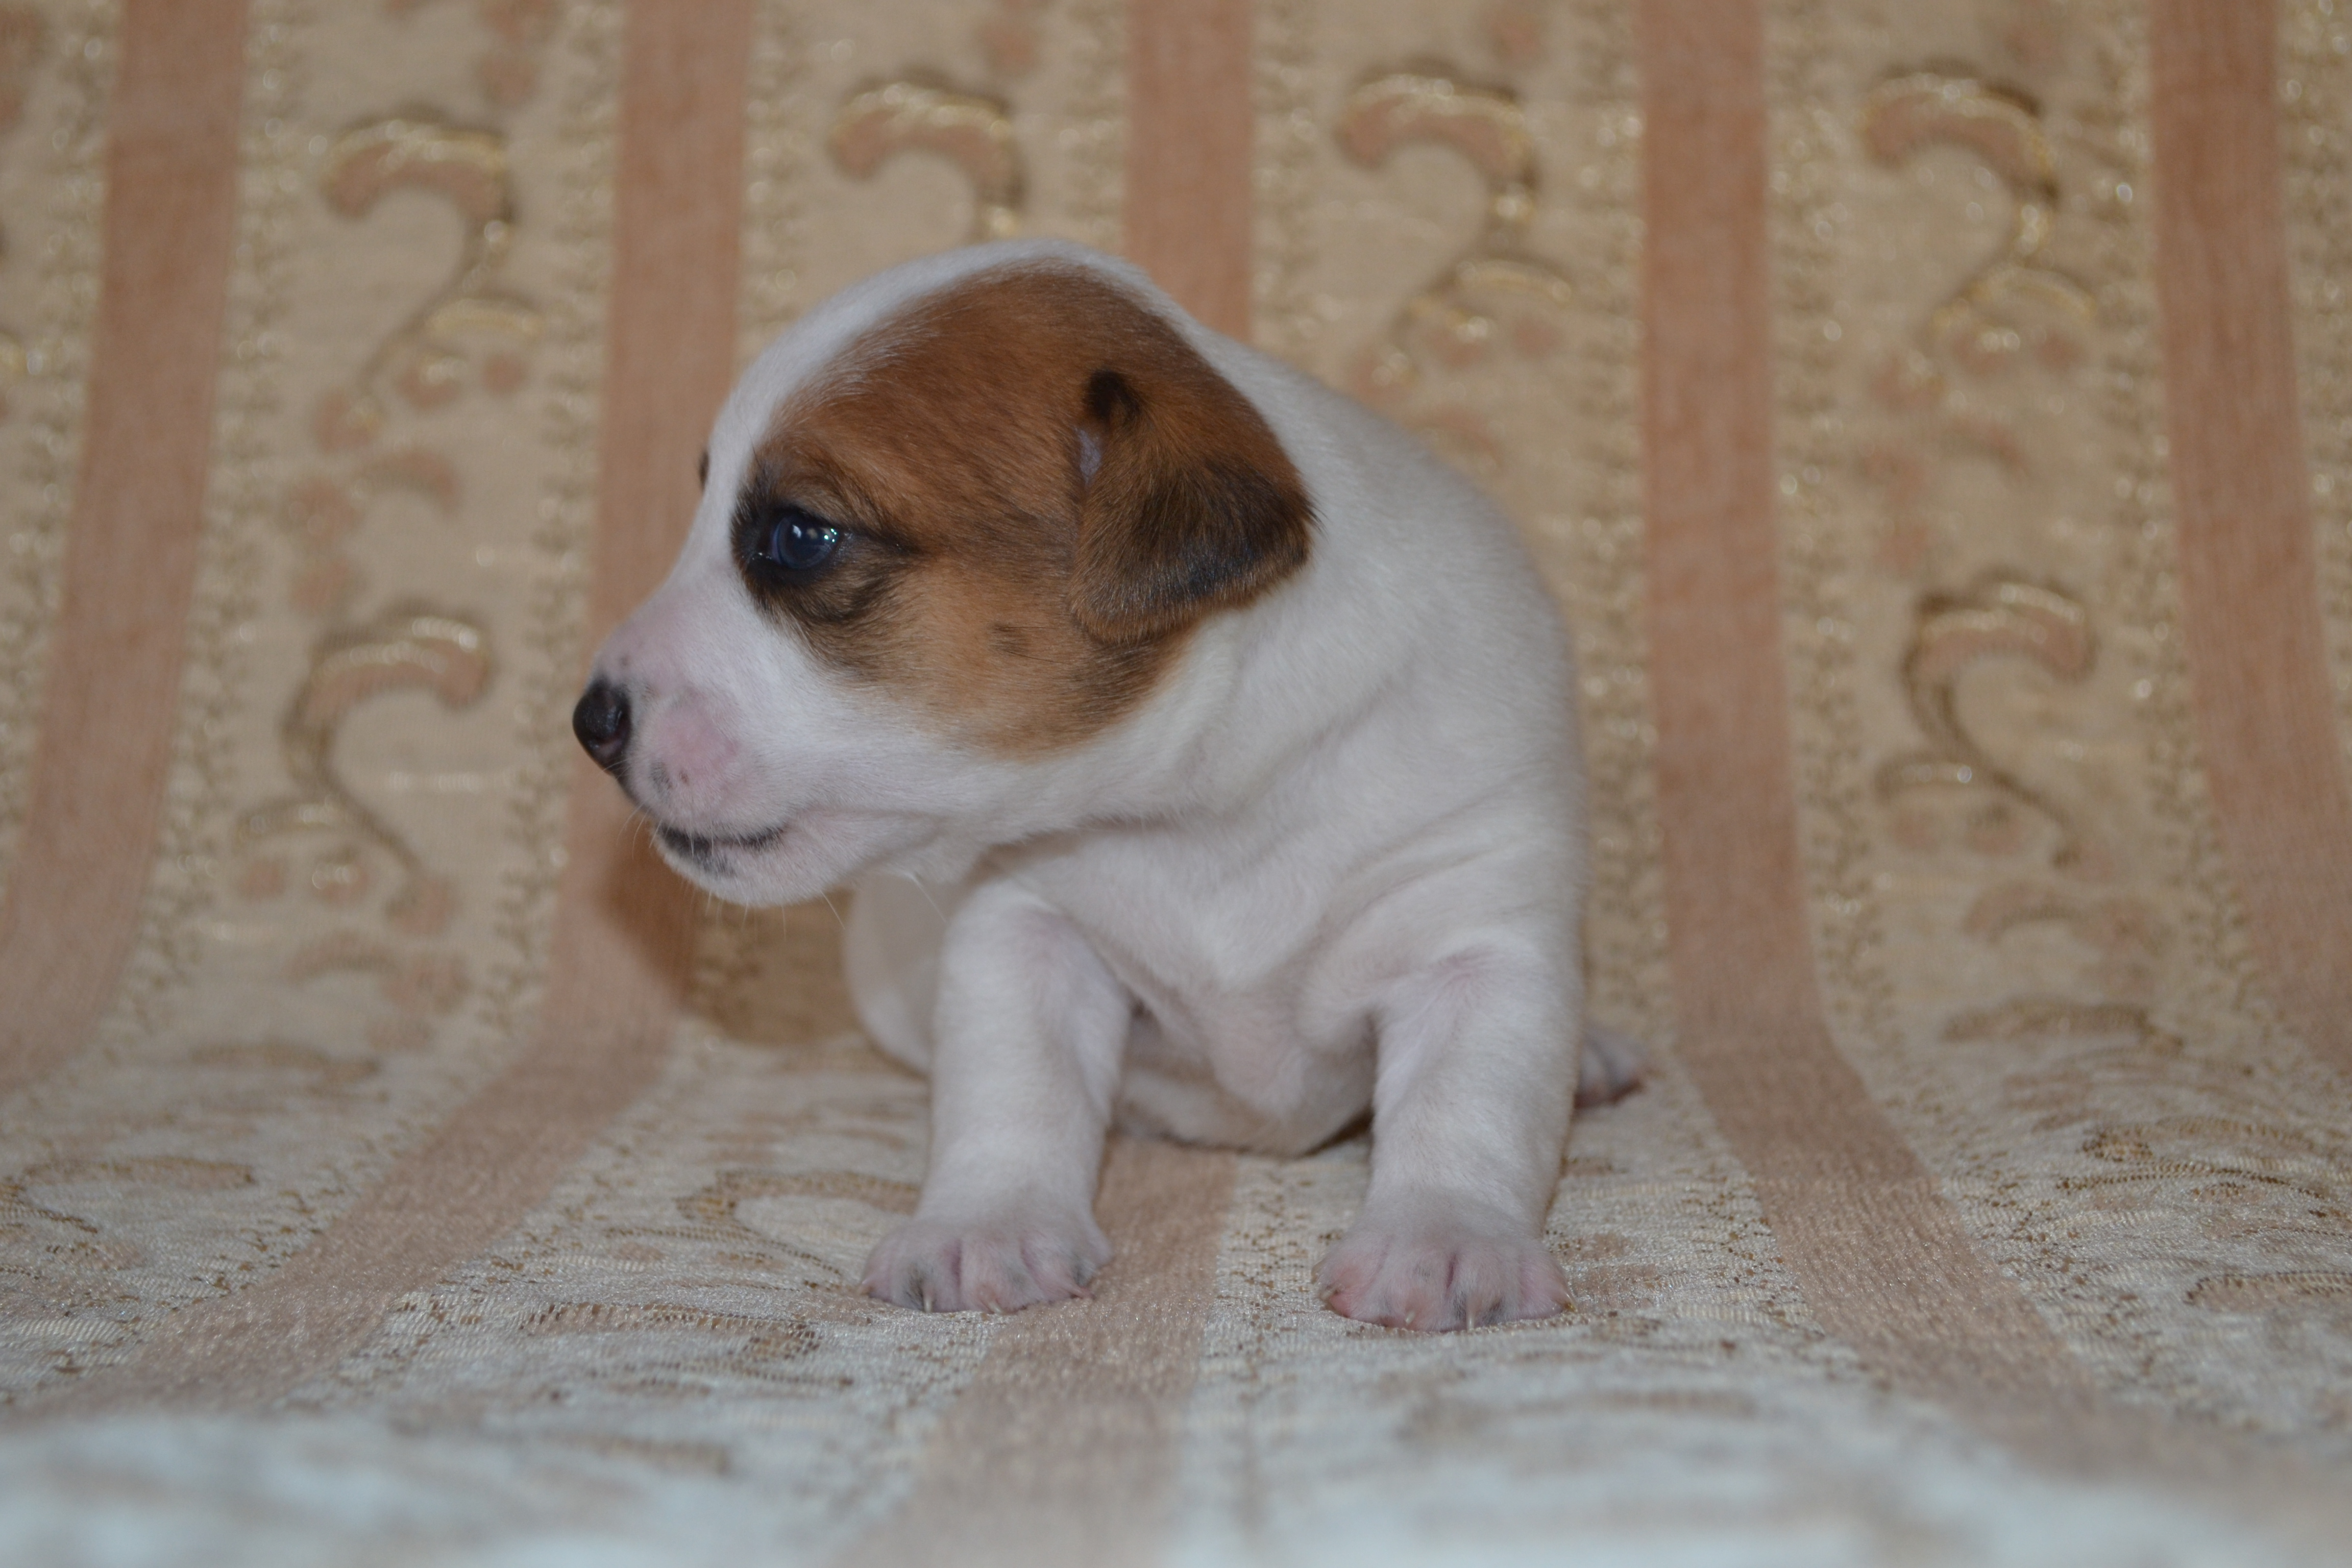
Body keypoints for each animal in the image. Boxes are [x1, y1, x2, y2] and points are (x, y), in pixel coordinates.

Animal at [574, 240, 1639, 1330]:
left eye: (797, 538)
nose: (590, 723)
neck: (1201, 802)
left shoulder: (1474, 925)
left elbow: (1466, 1107)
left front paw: (1443, 1235)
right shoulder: (1026, 930)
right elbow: (1014, 1093)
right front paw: (987, 1222)